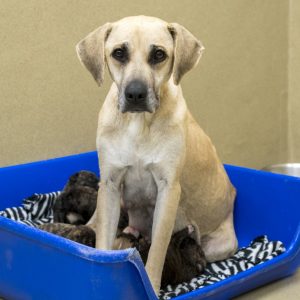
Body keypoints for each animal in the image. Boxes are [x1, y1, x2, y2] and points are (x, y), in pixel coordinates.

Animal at [75, 15, 237, 292]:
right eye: (119, 53)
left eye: (159, 54)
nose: (135, 93)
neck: (138, 124)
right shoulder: (110, 185)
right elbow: (103, 243)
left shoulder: (168, 191)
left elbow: (157, 252)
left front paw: (149, 282)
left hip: (220, 244)